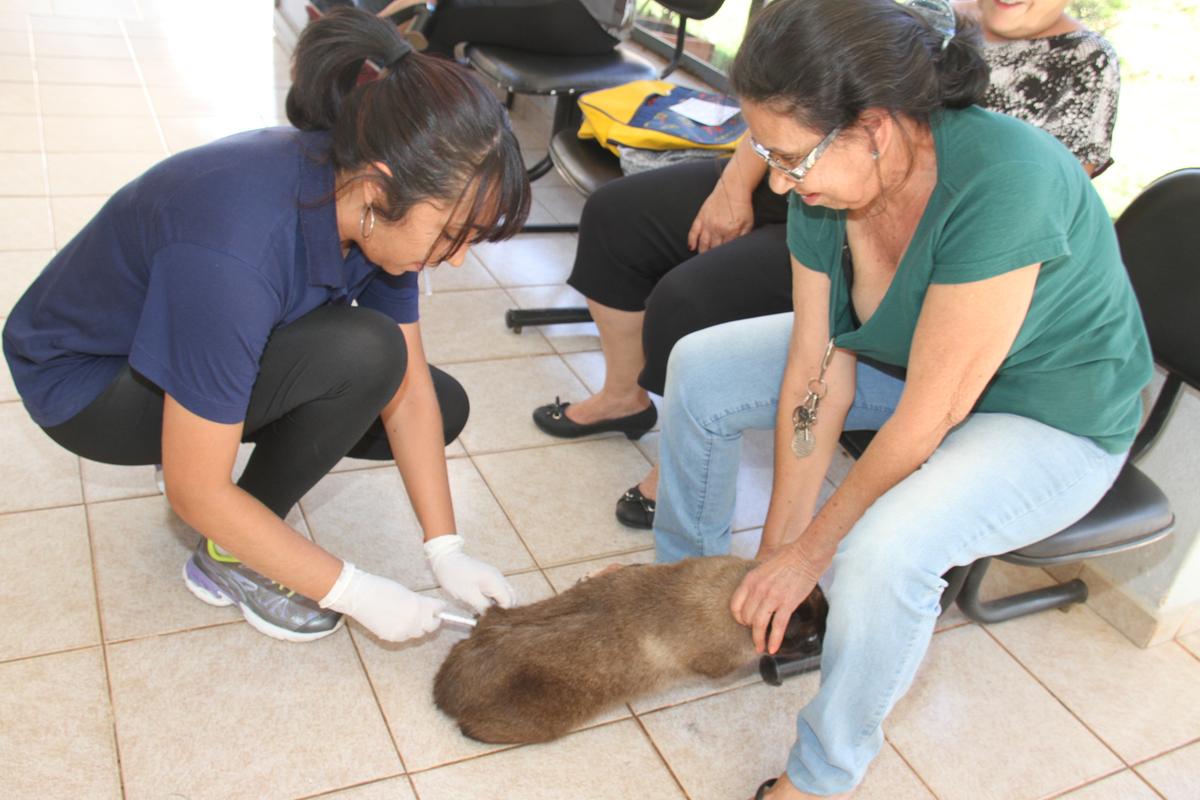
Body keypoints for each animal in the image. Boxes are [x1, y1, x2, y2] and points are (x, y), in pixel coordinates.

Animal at [434, 556, 825, 743]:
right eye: (810, 639)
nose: (825, 641)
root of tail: (443, 690)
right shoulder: (721, 664)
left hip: (490, 619)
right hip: (546, 725)